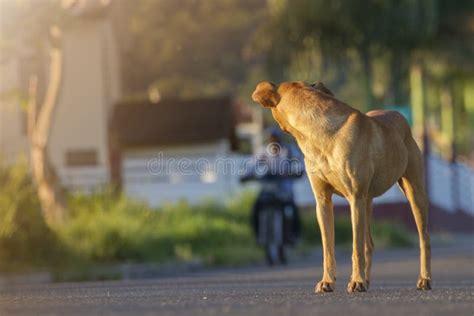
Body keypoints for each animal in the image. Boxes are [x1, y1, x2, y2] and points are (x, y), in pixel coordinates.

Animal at [254, 80, 432, 292]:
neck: (320, 135)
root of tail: (398, 115)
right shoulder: (323, 201)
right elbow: (328, 249)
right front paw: (328, 281)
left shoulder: (355, 198)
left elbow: (355, 247)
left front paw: (356, 280)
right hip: (367, 202)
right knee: (369, 244)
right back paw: (366, 280)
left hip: (413, 192)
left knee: (423, 239)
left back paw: (424, 279)